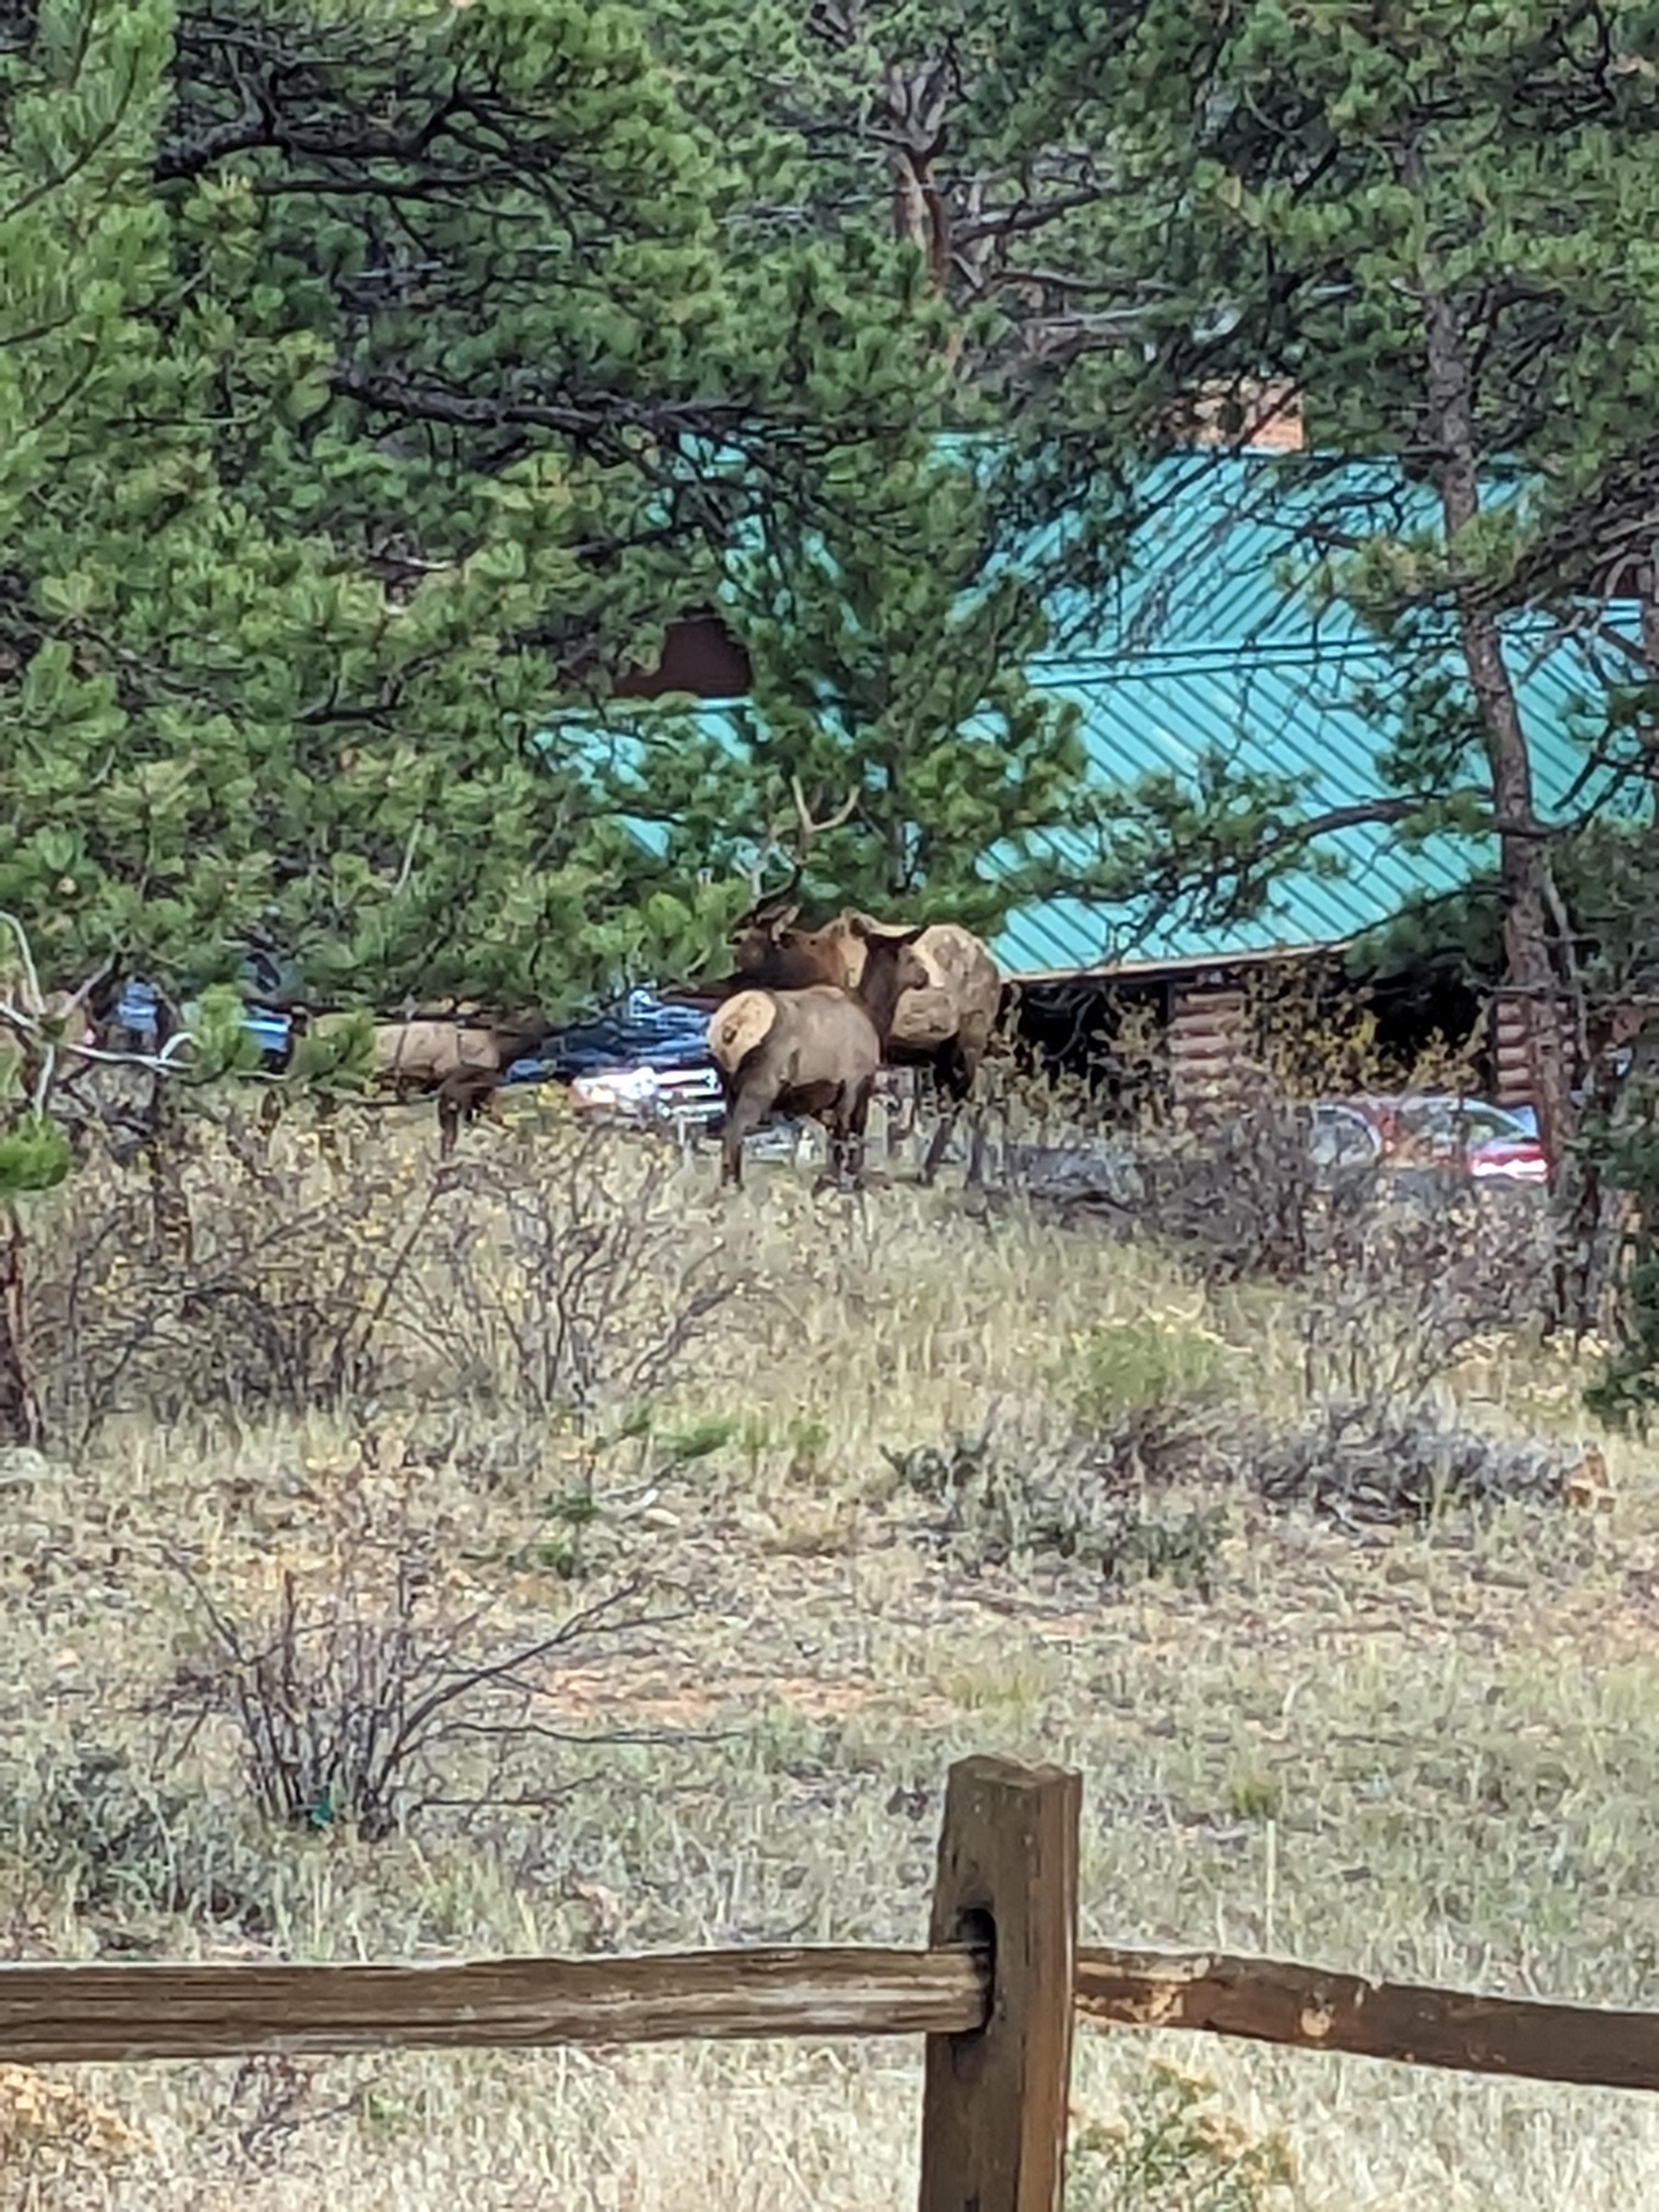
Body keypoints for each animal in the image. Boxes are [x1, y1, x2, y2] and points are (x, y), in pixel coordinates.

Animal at [706, 914, 930, 1191]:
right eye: (911, 957)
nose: (926, 976)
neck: (875, 1017)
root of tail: (730, 1027)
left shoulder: (823, 1099)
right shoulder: (856, 1082)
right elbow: (849, 1135)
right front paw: (843, 1180)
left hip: (728, 1087)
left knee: (727, 1132)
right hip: (759, 1087)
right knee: (735, 1133)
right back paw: (736, 1187)